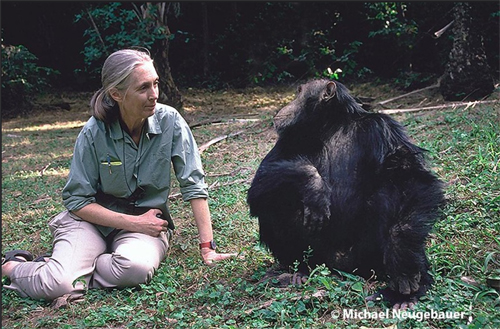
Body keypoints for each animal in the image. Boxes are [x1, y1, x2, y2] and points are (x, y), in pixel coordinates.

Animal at [247, 78, 446, 306]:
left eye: (299, 92)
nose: (286, 104)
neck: (331, 128)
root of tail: (339, 267)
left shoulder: (383, 129)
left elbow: (412, 179)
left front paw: (402, 262)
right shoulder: (288, 139)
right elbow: (259, 182)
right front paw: (313, 185)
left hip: (366, 257)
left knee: (387, 194)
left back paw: (406, 292)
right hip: (320, 257)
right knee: (273, 200)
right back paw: (299, 271)